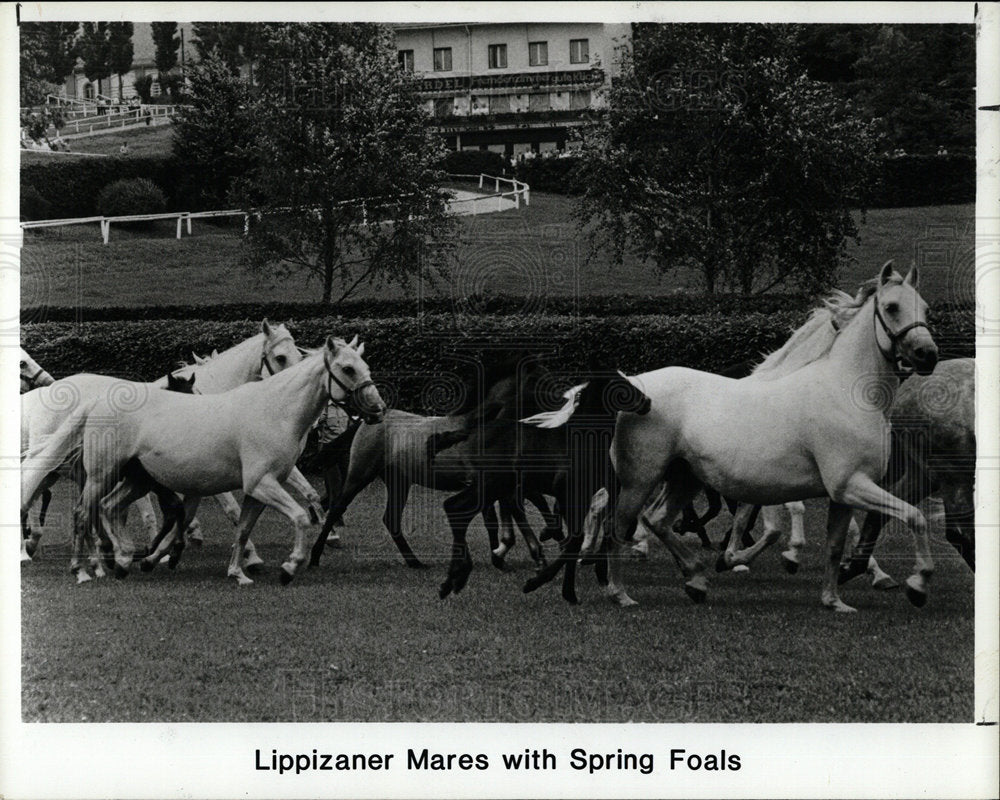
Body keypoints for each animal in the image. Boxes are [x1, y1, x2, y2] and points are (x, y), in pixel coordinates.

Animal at [20, 334, 386, 584]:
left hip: (133, 479)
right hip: (100, 474)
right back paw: (83, 568)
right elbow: (295, 517)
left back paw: (117, 560)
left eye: (366, 367)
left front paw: (239, 570)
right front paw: (288, 566)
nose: (378, 409)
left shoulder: (256, 488)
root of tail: (93, 402)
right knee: (82, 511)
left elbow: (242, 525)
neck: (273, 409)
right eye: (348, 368)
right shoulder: (259, 484)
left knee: (106, 508)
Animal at [442, 372, 652, 604]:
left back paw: (456, 578)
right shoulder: (568, 494)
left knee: (457, 506)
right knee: (458, 507)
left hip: (494, 485)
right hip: (492, 483)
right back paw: (459, 576)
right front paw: (544, 584)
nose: (646, 402)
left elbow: (602, 532)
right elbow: (574, 540)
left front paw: (576, 585)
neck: (583, 442)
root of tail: (472, 434)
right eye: (619, 384)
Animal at [588, 264, 932, 612]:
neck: (843, 392)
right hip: (640, 480)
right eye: (892, 307)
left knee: (657, 520)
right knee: (617, 527)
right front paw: (918, 584)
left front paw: (834, 601)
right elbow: (914, 516)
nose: (927, 354)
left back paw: (696, 580)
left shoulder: (842, 494)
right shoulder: (849, 485)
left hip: (685, 477)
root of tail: (634, 388)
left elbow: (835, 546)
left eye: (926, 308)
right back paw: (621, 593)